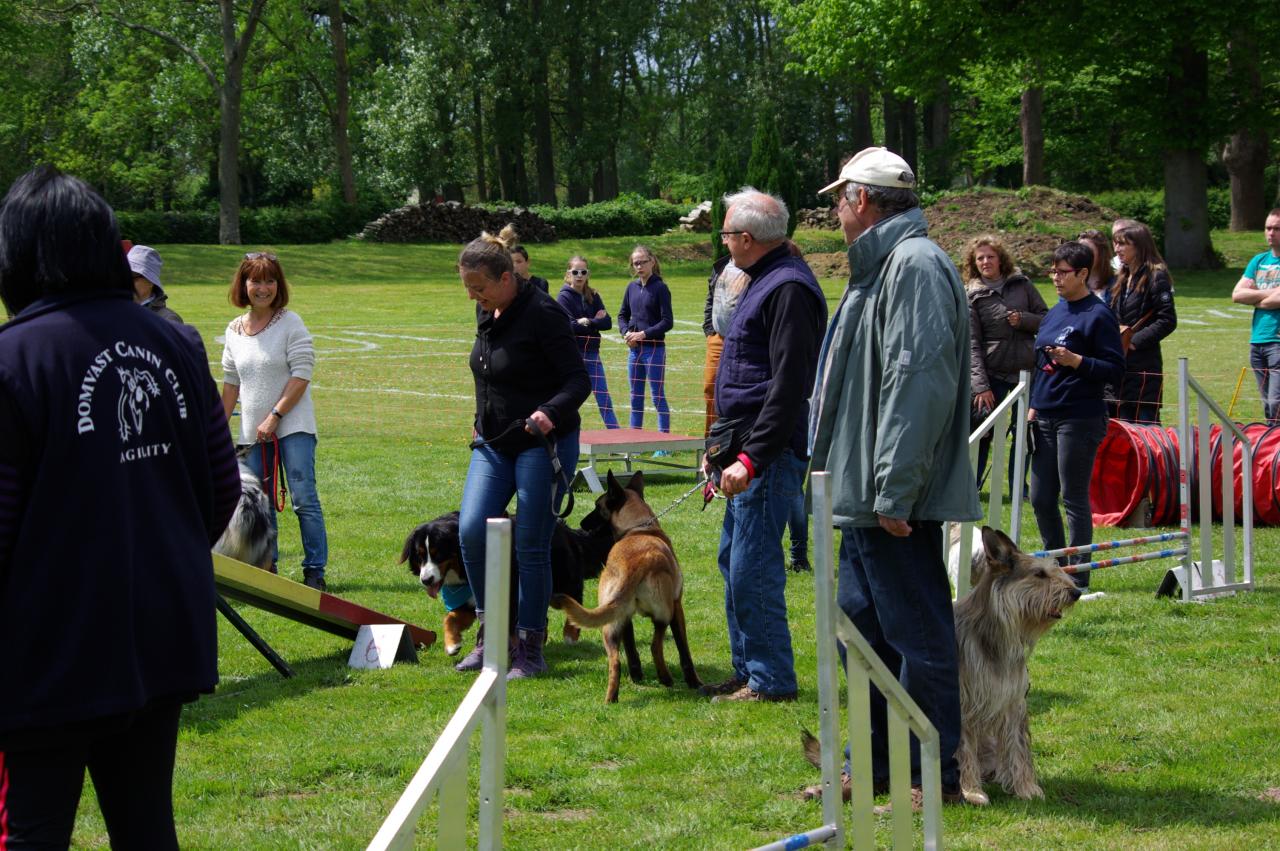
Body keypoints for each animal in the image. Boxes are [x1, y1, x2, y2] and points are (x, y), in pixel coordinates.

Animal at [550, 468, 701, 701]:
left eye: (597, 507)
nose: (582, 524)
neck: (638, 529)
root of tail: (634, 564)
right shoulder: (678, 607)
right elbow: (683, 649)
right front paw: (694, 681)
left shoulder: (625, 616)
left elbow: (630, 648)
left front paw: (636, 675)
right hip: (663, 614)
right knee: (655, 646)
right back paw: (665, 678)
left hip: (611, 623)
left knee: (615, 660)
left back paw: (611, 699)